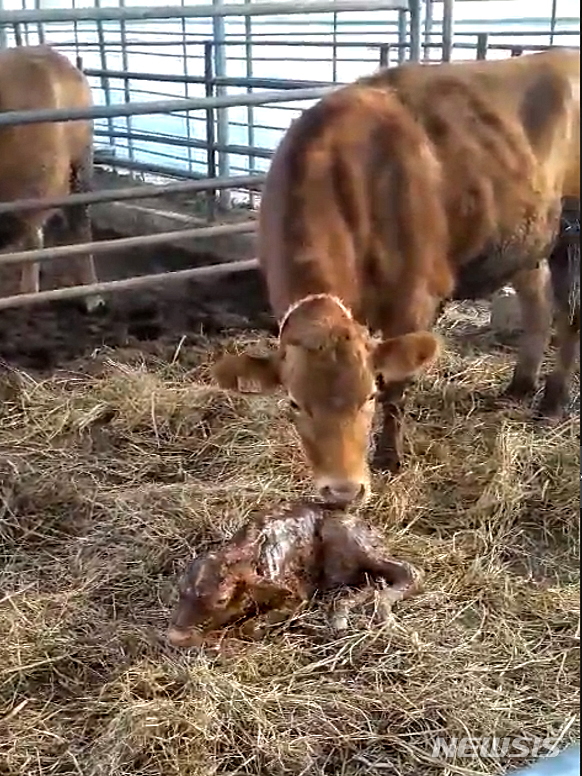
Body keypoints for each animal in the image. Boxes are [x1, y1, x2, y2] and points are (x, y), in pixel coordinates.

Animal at [168, 500, 420, 644]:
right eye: (180, 591)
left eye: (221, 600)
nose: (177, 636)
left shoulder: (297, 596)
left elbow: (249, 627)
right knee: (371, 584)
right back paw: (340, 618)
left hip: (353, 542)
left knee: (410, 572)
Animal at [216, 50, 582, 510]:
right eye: (295, 403)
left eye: (367, 397)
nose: (342, 490)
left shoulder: (414, 298)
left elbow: (398, 384)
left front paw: (389, 456)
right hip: (526, 238)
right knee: (537, 305)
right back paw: (519, 386)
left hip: (572, 234)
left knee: (569, 317)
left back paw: (552, 401)